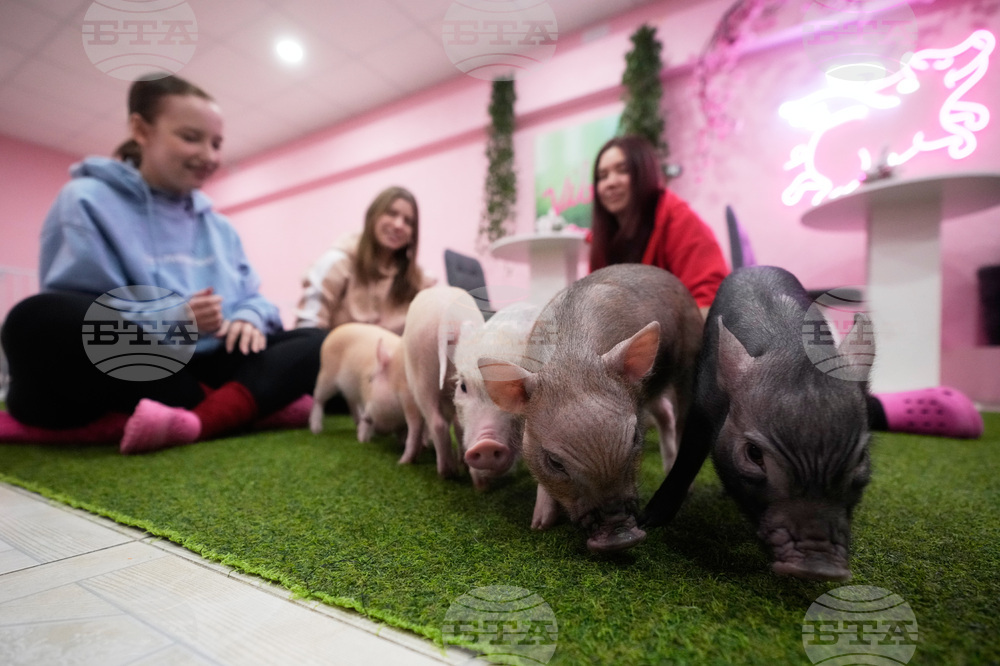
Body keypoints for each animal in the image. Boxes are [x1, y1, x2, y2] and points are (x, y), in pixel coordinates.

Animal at [402, 286, 485, 478]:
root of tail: (447, 319)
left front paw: (405, 461)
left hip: (423, 378)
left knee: (437, 423)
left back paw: (446, 472)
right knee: (460, 425)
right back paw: (461, 465)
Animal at [479, 264, 703, 553]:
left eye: (635, 439)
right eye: (554, 462)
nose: (620, 537)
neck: (571, 357)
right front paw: (538, 526)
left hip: (690, 359)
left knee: (681, 419)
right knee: (665, 415)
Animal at [643, 265, 874, 581]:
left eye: (862, 457)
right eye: (754, 454)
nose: (819, 567)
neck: (790, 347)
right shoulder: (703, 405)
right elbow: (687, 458)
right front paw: (647, 521)